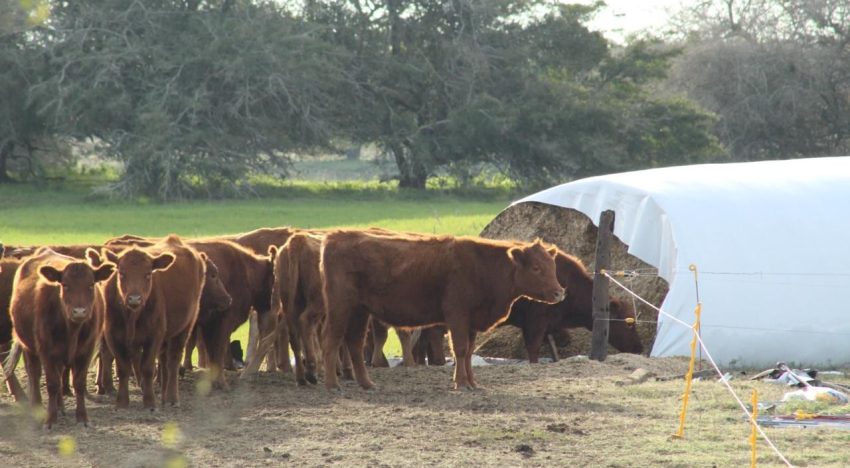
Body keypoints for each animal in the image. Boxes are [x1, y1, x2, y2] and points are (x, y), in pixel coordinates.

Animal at [8, 249, 113, 428]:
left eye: (91, 285)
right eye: (65, 285)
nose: (79, 312)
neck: (72, 330)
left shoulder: (86, 350)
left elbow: (78, 382)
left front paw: (82, 418)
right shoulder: (46, 350)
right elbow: (52, 383)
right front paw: (50, 419)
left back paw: (61, 407)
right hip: (29, 347)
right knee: (34, 373)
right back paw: (37, 407)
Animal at [99, 236, 204, 408]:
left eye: (148, 274)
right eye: (121, 273)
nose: (134, 299)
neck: (132, 316)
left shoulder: (154, 336)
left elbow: (147, 368)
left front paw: (149, 401)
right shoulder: (113, 335)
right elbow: (123, 368)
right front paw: (122, 401)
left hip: (184, 328)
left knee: (173, 361)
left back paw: (172, 397)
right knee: (163, 360)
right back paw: (163, 395)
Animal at [318, 231, 564, 392]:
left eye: (553, 266)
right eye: (536, 267)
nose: (559, 292)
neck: (482, 266)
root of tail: (335, 237)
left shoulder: (471, 322)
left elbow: (468, 352)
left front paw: (473, 383)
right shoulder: (457, 317)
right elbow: (461, 350)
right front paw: (461, 383)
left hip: (360, 312)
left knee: (355, 344)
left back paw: (367, 384)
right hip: (340, 308)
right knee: (331, 341)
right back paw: (332, 384)